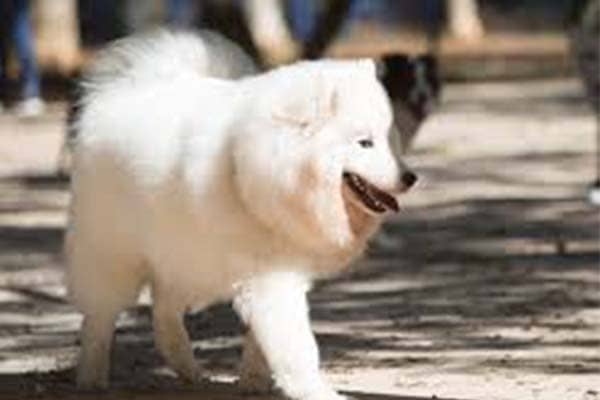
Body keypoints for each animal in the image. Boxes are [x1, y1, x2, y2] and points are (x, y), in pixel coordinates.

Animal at [65, 31, 414, 400]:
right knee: (100, 317)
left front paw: (253, 381)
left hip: (183, 255)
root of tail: (119, 93)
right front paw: (315, 391)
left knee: (164, 315)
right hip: (116, 255)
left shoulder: (280, 275)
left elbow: (262, 344)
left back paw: (189, 372)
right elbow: (297, 347)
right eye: (364, 143)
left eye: (389, 140)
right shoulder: (272, 281)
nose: (410, 177)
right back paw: (92, 377)